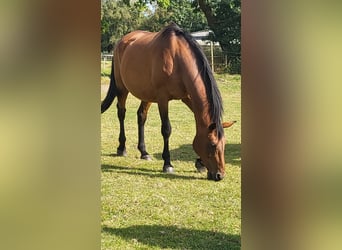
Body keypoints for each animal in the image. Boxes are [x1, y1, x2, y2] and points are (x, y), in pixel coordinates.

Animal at [101, 23, 235, 180]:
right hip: (122, 88)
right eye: (213, 144)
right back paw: (122, 148)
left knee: (141, 116)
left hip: (146, 94)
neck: (177, 59)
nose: (220, 175)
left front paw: (200, 163)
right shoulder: (163, 99)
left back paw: (144, 152)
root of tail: (122, 42)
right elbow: (166, 129)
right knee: (121, 113)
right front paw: (168, 164)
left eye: (224, 144)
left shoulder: (187, 97)